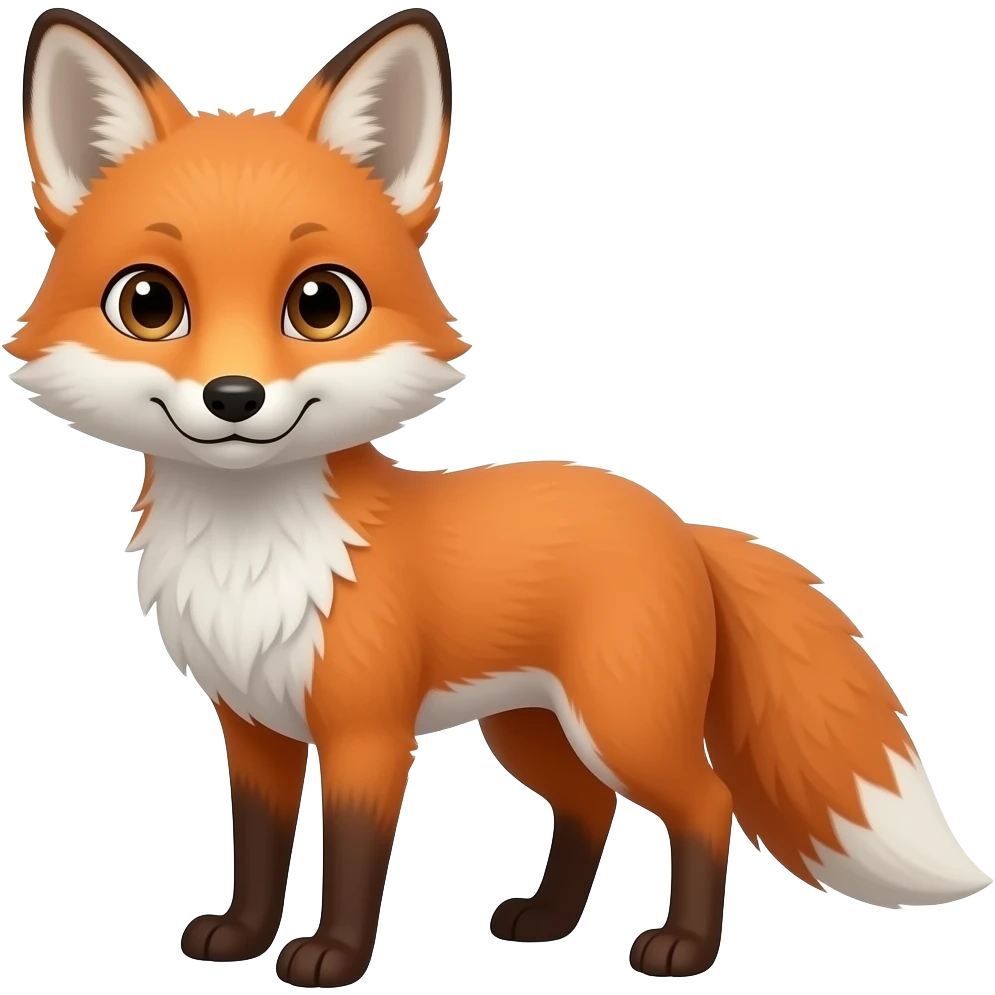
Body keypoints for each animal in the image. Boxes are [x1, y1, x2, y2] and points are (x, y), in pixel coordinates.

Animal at [8, 5, 991, 988]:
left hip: (618, 722)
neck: (251, 556)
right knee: (591, 806)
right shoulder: (253, 726)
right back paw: (548, 920)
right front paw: (243, 937)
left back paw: (681, 946)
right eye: (149, 303)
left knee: (706, 801)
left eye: (320, 304)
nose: (234, 397)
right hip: (531, 730)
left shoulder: (367, 730)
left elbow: (355, 856)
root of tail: (681, 522)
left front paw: (333, 955)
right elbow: (256, 846)